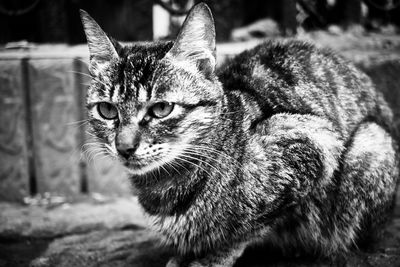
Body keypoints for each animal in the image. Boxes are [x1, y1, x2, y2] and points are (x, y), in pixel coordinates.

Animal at [79, 2, 398, 267]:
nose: (125, 146)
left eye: (161, 108)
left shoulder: (313, 143)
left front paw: (212, 257)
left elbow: (251, 226)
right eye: (107, 110)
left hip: (371, 143)